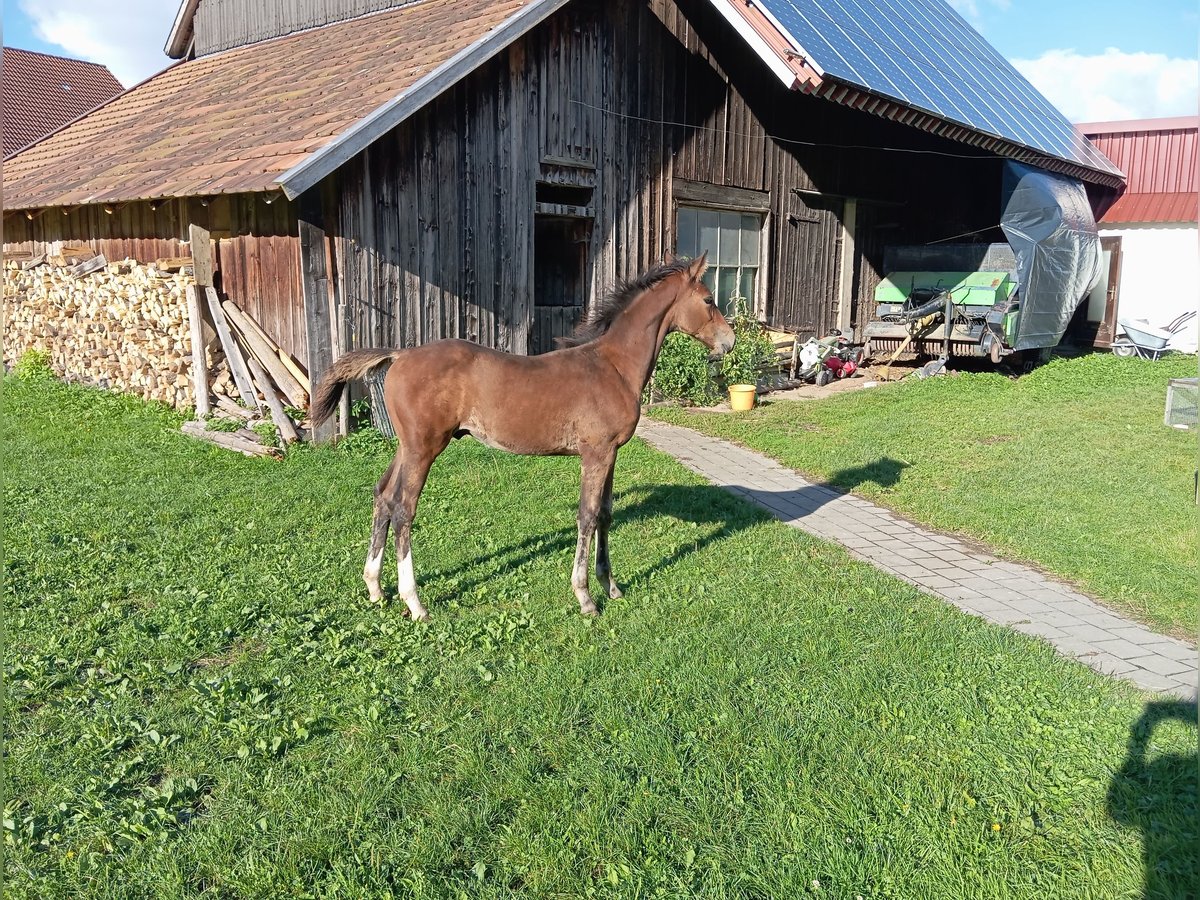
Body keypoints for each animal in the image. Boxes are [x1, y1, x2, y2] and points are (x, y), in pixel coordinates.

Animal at [309, 252, 734, 619]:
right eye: (709, 299)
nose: (729, 341)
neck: (612, 365)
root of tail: (400, 355)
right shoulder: (595, 453)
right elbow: (587, 515)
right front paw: (585, 597)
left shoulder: (612, 453)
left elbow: (605, 514)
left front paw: (611, 586)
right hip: (423, 449)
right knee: (403, 509)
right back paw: (415, 603)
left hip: (407, 447)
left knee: (382, 496)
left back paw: (375, 587)